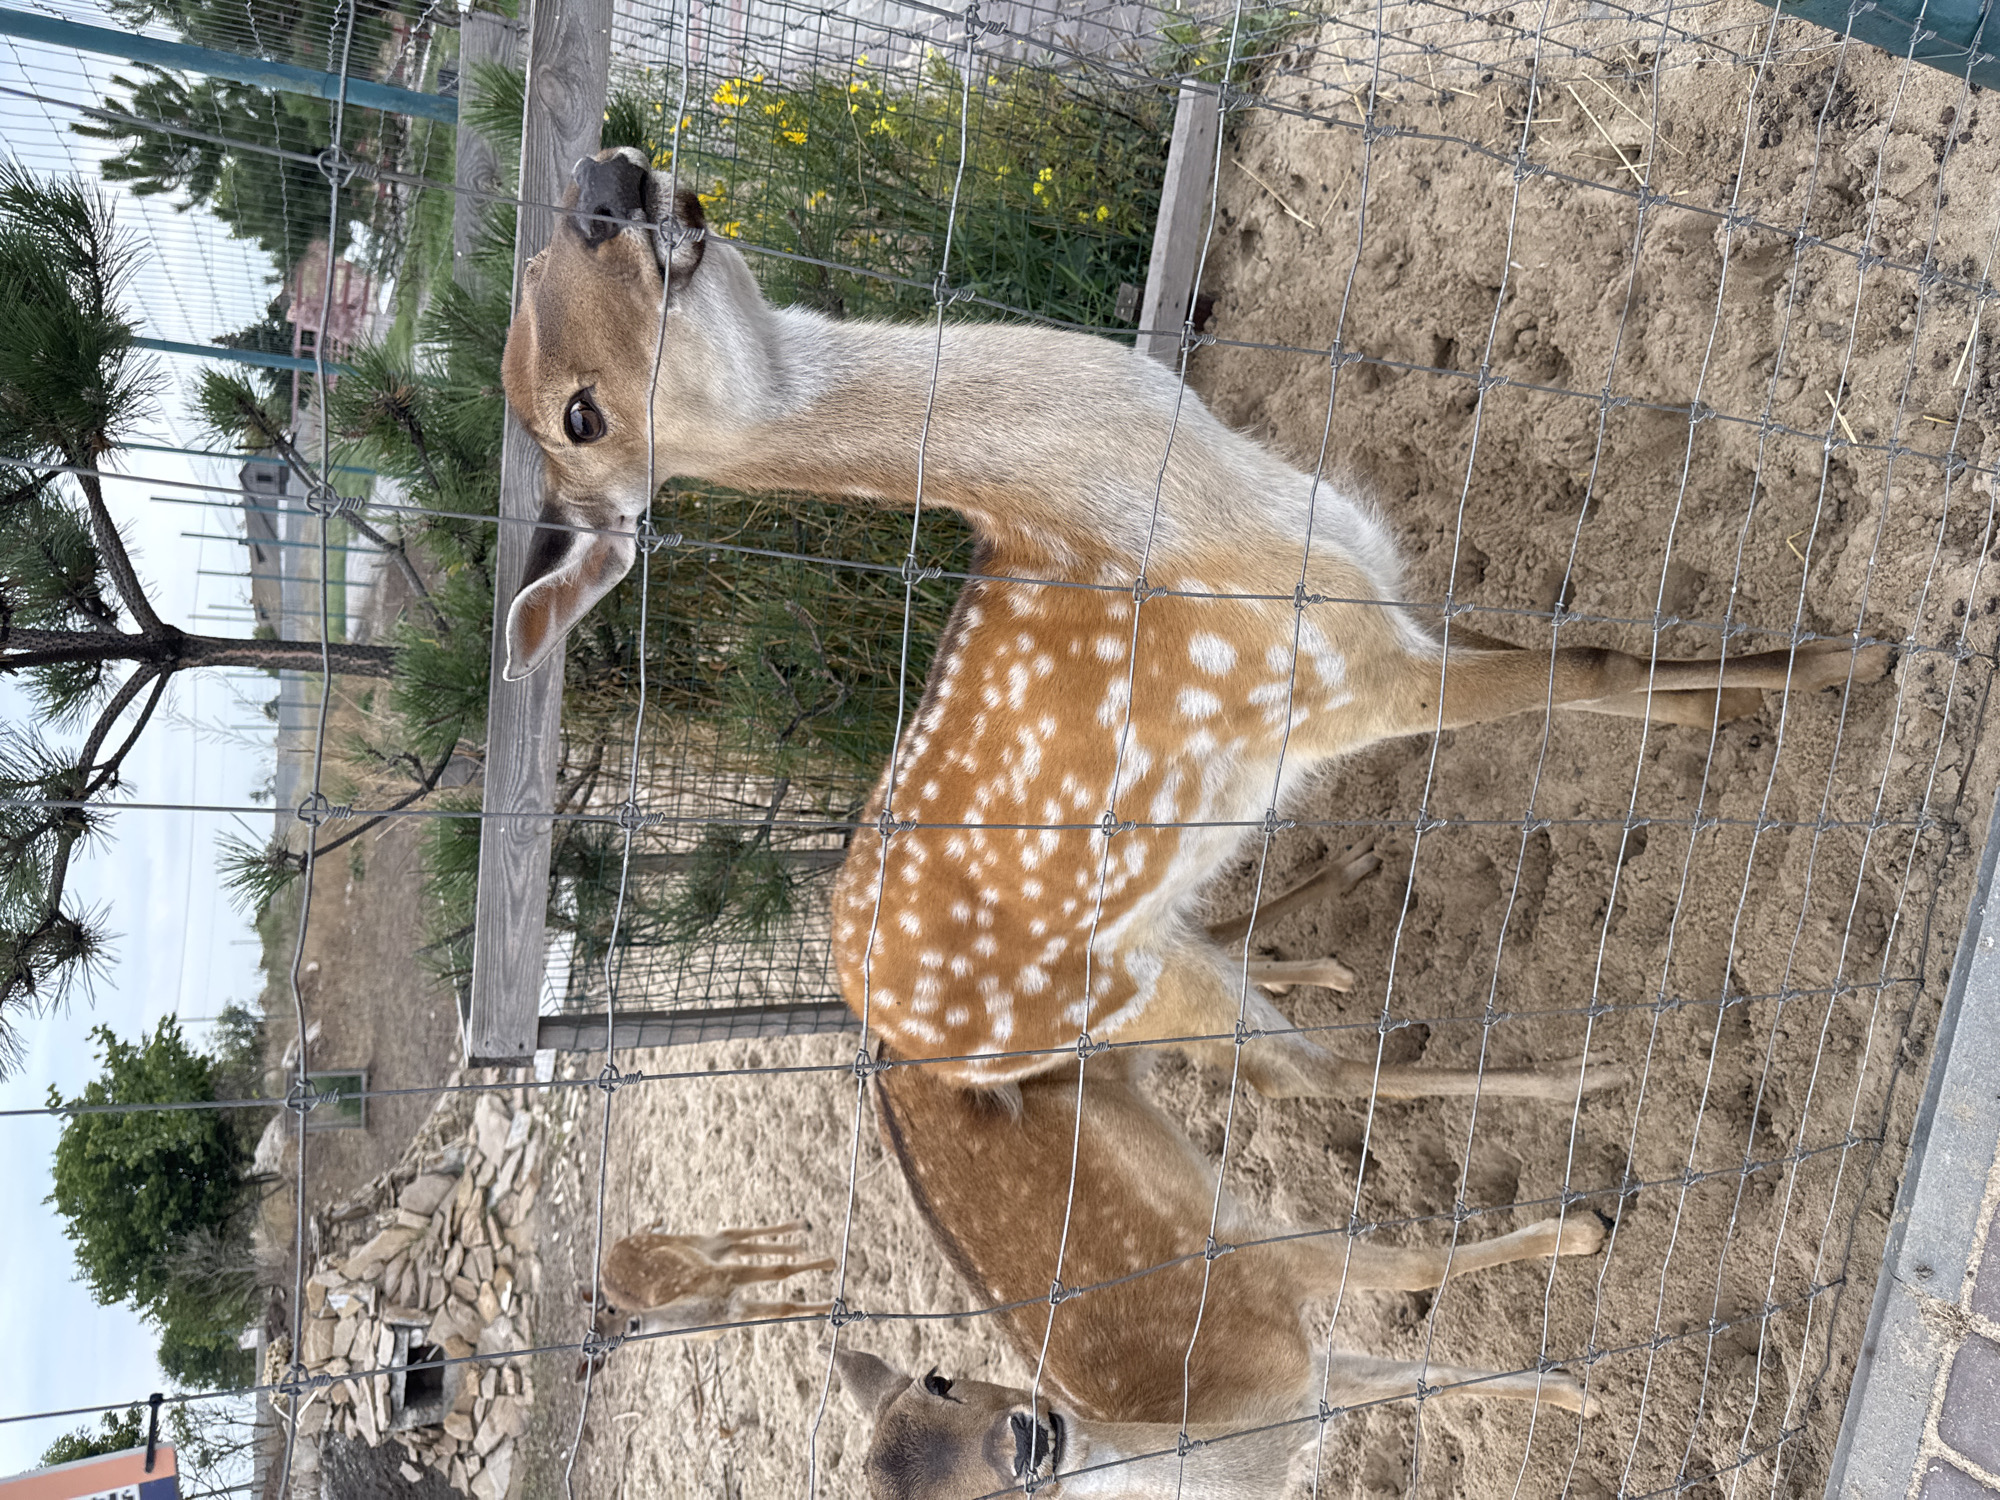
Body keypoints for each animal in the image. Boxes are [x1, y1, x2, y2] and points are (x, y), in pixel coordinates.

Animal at [501, 146, 1890, 1103]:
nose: (597, 179)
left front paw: (1728, 706)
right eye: (580, 410)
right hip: (1113, 996)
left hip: (1152, 947)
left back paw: (1337, 917)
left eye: (531, 272)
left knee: (1246, 963)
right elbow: (1577, 659)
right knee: (1319, 1082)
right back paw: (1585, 1093)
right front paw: (1843, 662)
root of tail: (910, 1047)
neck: (1194, 513)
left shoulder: (1385, 613)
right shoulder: (1344, 674)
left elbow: (1576, 657)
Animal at [574, 1219, 837, 1378]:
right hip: (706, 1254)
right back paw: (800, 1247)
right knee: (734, 1243)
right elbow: (785, 1307)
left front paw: (831, 1266)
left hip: (682, 1242)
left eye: (612, 1310)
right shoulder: (737, 1310)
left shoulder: (723, 1275)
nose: (633, 1324)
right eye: (605, 1348)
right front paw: (827, 1309)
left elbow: (780, 1271)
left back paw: (805, 1229)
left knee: (730, 1233)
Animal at [827, 1047, 1604, 1498]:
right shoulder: (1309, 1374)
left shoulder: (1259, 1258)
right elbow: (1422, 1379)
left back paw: (1591, 1076)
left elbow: (1419, 1267)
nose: (1024, 1439)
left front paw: (1583, 1233)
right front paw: (1577, 1395)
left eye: (940, 1379)